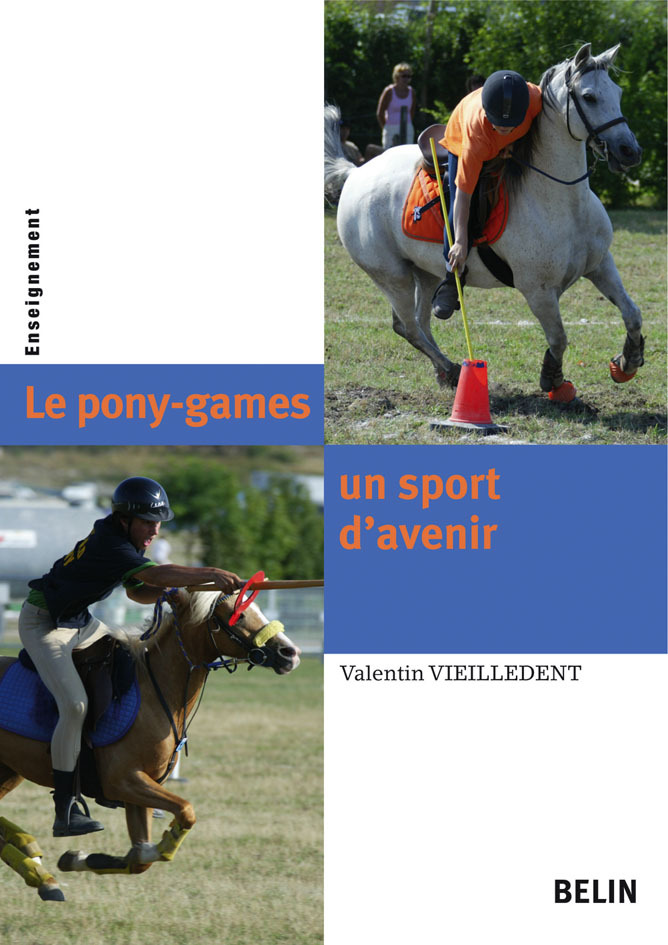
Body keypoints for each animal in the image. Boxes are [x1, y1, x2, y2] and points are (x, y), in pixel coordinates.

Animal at [0, 587, 301, 901]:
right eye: (237, 614)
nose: (290, 653)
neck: (156, 693)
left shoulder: (141, 787)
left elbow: (140, 858)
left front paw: (78, 858)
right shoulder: (124, 780)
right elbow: (186, 810)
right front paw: (167, 842)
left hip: (9, 771)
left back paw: (32, 857)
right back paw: (36, 867)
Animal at [325, 43, 644, 403]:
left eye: (617, 92)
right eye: (589, 97)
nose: (629, 151)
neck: (562, 200)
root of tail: (355, 173)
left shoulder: (601, 265)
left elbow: (632, 314)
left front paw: (628, 361)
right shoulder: (539, 291)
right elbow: (559, 338)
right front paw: (554, 381)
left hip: (423, 272)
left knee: (421, 322)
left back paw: (444, 372)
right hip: (392, 277)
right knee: (407, 326)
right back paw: (451, 369)